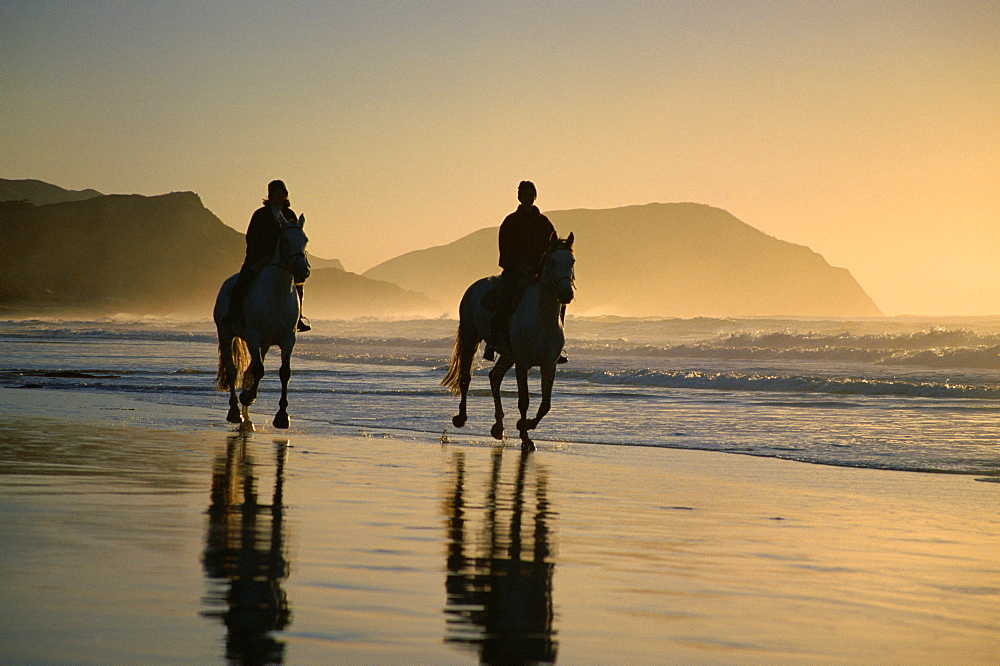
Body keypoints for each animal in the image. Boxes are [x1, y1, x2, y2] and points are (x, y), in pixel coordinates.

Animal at [216, 215, 310, 428]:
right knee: (233, 370)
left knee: (249, 370)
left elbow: (284, 372)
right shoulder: (253, 337)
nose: (303, 271)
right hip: (225, 333)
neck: (276, 295)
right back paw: (235, 411)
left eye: (305, 240)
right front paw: (247, 397)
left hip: (265, 344)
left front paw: (282, 415)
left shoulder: (288, 340)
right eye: (285, 240)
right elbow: (258, 370)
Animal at [442, 233, 576, 452]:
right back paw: (461, 418)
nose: (566, 293)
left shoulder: (549, 366)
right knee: (465, 377)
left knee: (494, 377)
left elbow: (545, 405)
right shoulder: (522, 364)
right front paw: (525, 435)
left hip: (507, 354)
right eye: (553, 261)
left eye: (572, 261)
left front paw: (526, 426)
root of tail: (475, 286)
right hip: (471, 336)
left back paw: (498, 427)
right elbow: (524, 401)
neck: (541, 318)